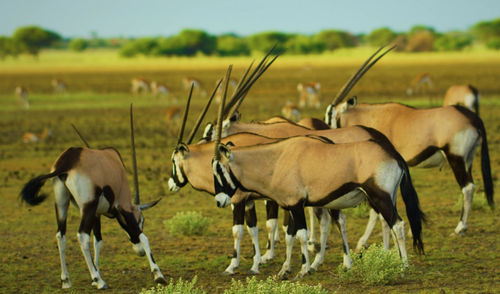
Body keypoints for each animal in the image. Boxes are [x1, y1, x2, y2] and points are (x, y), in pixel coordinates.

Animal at [20, 108, 166, 290]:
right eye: (141, 220)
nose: (138, 252)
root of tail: (66, 162)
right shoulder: (122, 206)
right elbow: (144, 237)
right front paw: (158, 275)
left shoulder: (97, 213)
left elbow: (98, 241)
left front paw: (94, 274)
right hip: (87, 206)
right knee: (82, 235)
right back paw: (99, 281)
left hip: (61, 202)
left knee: (61, 235)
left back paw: (67, 281)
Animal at [324, 47, 492, 238]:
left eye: (330, 115)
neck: (374, 116)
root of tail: (473, 118)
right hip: (467, 159)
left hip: (456, 157)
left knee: (468, 187)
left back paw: (460, 228)